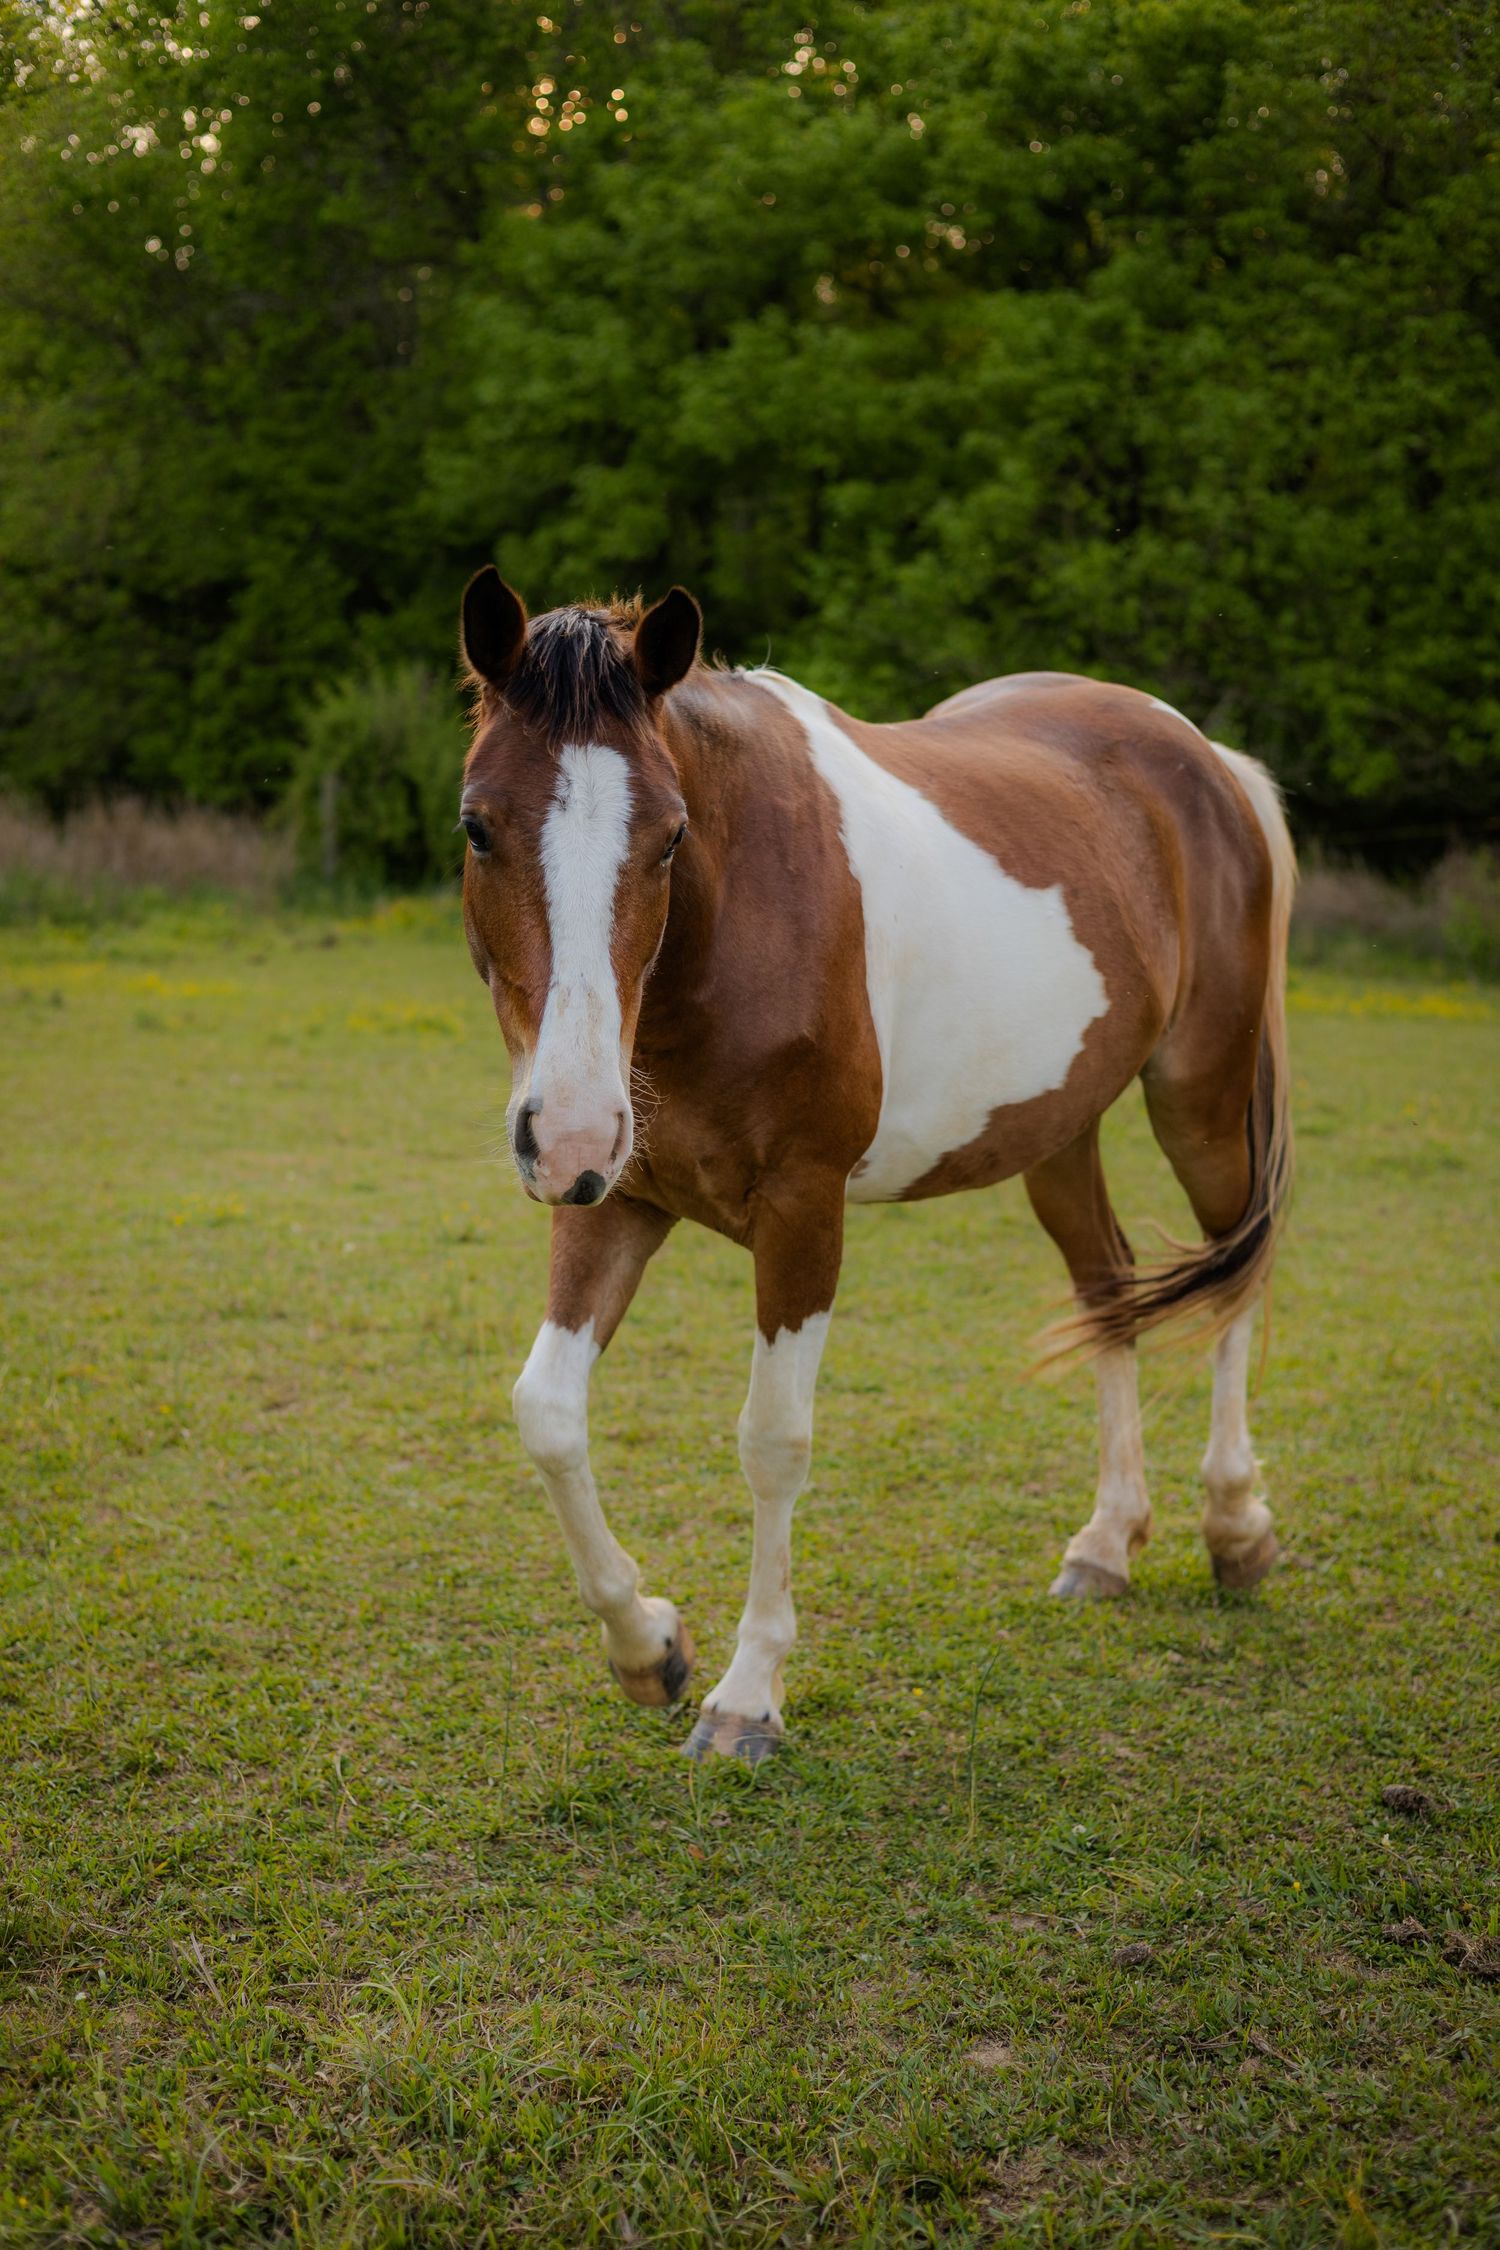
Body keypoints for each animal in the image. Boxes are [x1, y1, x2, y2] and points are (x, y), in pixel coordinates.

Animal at [456, 568, 1295, 1763]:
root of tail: (1207, 759)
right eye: (478, 827)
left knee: (1234, 1271)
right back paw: (1105, 1544)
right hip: (1058, 1131)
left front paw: (746, 1696)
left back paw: (1235, 1527)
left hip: (1202, 1101)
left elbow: (772, 1440)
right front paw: (648, 1645)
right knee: (1110, 1290)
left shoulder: (804, 1212)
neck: (734, 927)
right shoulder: (613, 1200)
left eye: (669, 837)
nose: (565, 1130)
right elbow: (547, 1414)